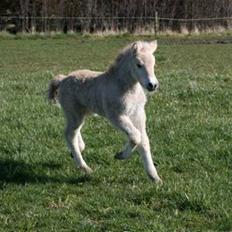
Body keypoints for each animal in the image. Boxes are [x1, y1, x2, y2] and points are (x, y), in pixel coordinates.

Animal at [48, 40, 162, 183]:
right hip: (74, 112)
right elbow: (136, 136)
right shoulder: (116, 116)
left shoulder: (138, 115)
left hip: (80, 113)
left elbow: (144, 141)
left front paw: (154, 177)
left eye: (154, 63)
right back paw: (84, 167)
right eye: (139, 64)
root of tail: (63, 79)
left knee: (74, 130)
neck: (125, 87)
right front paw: (120, 155)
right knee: (70, 134)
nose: (152, 85)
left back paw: (77, 150)